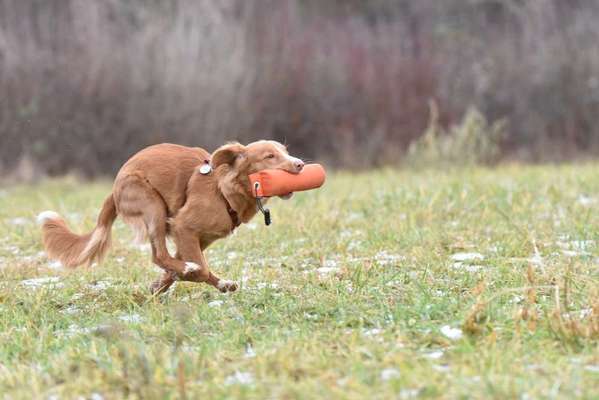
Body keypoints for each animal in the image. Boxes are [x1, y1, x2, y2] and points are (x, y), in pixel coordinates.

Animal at [38, 141, 304, 294]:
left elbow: (176, 268)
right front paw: (190, 272)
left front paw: (160, 285)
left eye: (285, 152)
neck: (224, 190)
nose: (300, 164)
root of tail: (115, 188)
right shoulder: (183, 226)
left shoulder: (200, 238)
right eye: (269, 156)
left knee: (166, 258)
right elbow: (198, 269)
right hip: (152, 204)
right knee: (159, 255)